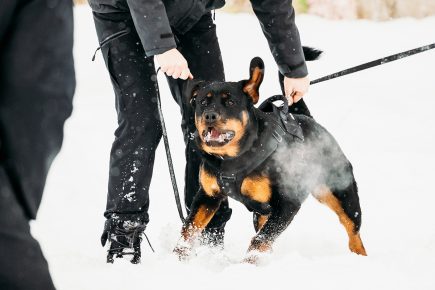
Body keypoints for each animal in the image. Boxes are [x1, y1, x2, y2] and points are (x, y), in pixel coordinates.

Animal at [175, 51, 366, 262]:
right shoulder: (207, 196)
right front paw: (177, 257)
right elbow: (188, 229)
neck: (231, 160)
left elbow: (260, 240)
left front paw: (247, 264)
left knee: (353, 230)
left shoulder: (287, 203)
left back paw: (360, 257)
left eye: (231, 102)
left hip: (341, 191)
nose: (209, 116)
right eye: (203, 102)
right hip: (261, 213)